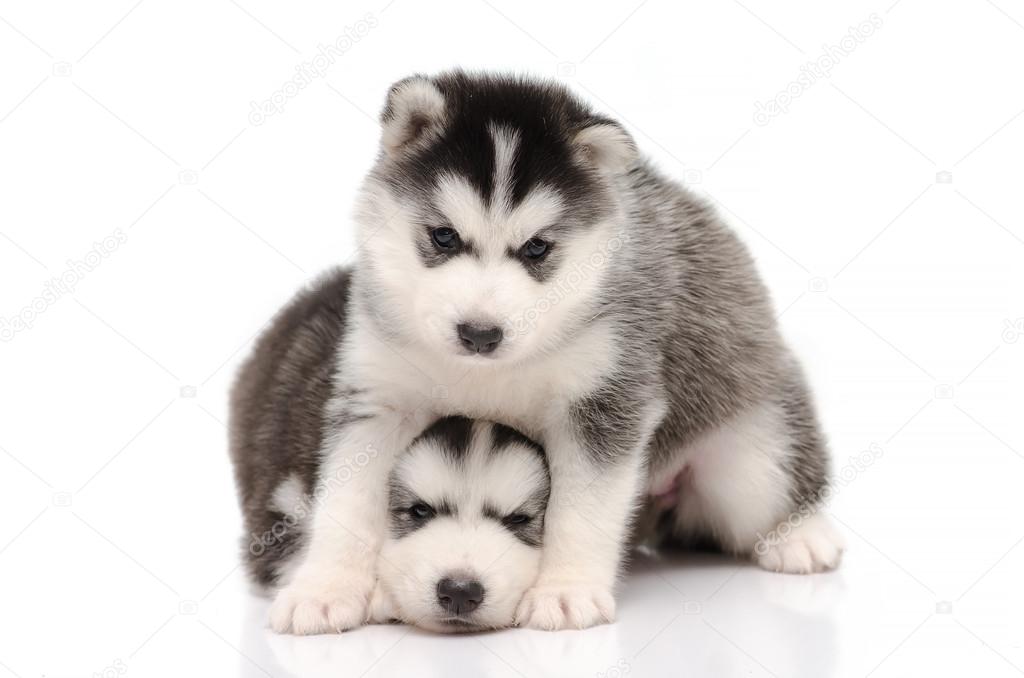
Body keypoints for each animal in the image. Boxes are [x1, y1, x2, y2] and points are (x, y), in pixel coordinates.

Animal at [237, 70, 839, 639]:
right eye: (443, 236)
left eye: (537, 248)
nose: (480, 334)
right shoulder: (378, 396)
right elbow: (346, 498)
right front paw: (324, 588)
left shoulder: (605, 399)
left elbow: (582, 509)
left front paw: (566, 591)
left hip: (752, 454)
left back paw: (802, 538)